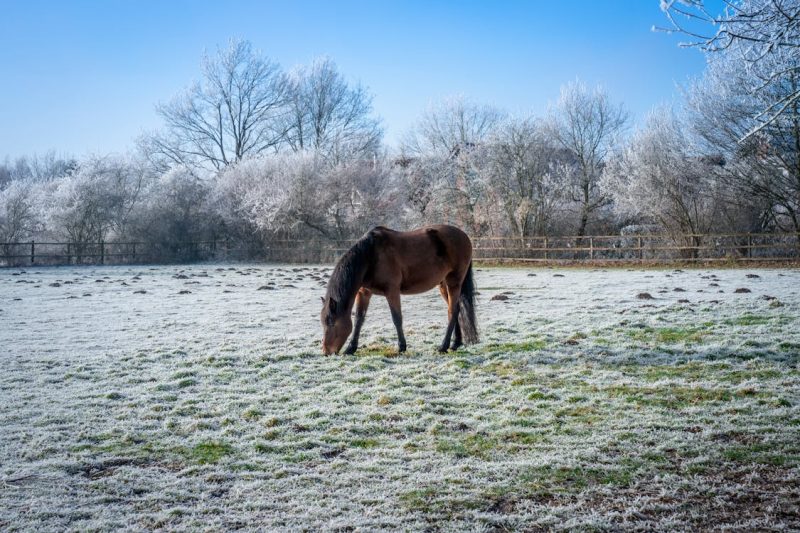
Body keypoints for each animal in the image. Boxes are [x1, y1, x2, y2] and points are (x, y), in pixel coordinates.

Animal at [320, 223, 482, 354]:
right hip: (443, 285)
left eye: (331, 323)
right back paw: (455, 344)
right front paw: (351, 348)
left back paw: (444, 346)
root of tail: (464, 236)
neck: (370, 255)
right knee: (457, 309)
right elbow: (359, 319)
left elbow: (396, 318)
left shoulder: (392, 291)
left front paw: (401, 347)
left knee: (452, 312)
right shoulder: (364, 292)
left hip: (454, 282)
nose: (326, 352)